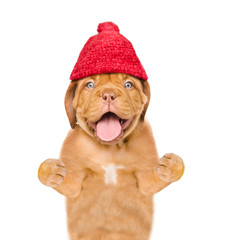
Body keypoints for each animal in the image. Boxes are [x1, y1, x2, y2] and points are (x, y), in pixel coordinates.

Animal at [37, 73, 184, 240]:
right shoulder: (75, 185)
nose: (108, 95)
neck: (110, 149)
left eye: (128, 84)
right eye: (89, 85)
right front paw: (50, 170)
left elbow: (153, 178)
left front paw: (171, 166)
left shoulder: (145, 181)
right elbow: (68, 181)